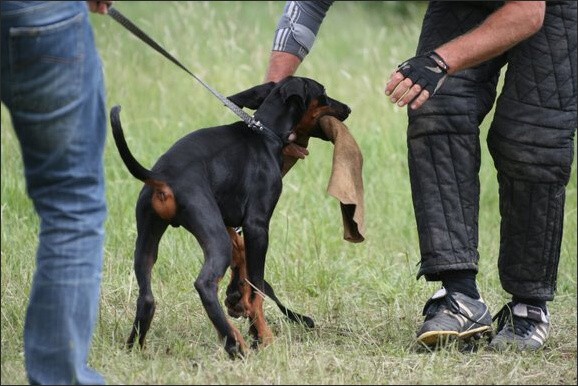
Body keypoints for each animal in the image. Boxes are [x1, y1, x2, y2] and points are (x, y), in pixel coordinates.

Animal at [110, 76, 348, 358]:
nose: (347, 109)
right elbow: (257, 288)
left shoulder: (230, 223)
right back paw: (234, 343)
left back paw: (134, 347)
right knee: (204, 284)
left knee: (146, 297)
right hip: (213, 238)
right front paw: (262, 336)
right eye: (323, 93)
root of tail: (162, 177)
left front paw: (240, 306)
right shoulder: (257, 226)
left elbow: (242, 264)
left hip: (146, 239)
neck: (264, 133)